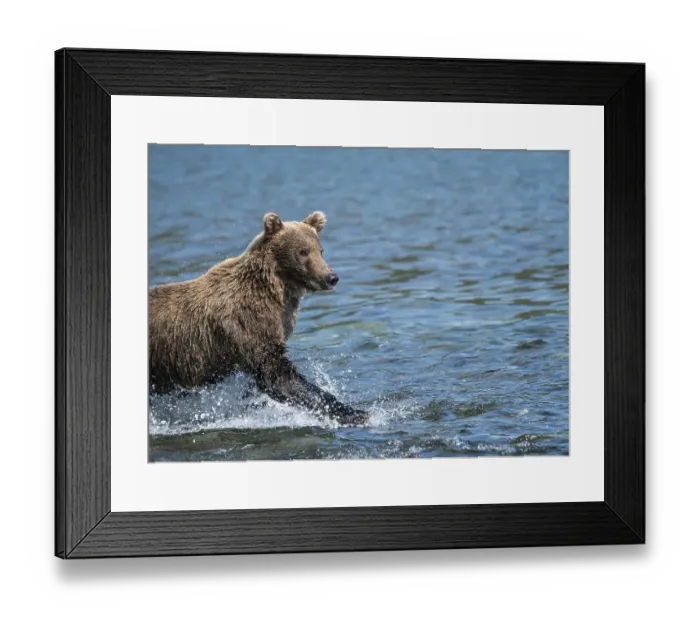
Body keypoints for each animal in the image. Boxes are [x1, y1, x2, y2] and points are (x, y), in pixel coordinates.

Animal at [148, 211, 368, 426]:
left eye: (321, 250)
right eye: (303, 252)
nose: (331, 277)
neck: (274, 290)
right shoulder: (249, 324)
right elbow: (276, 375)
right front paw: (355, 413)